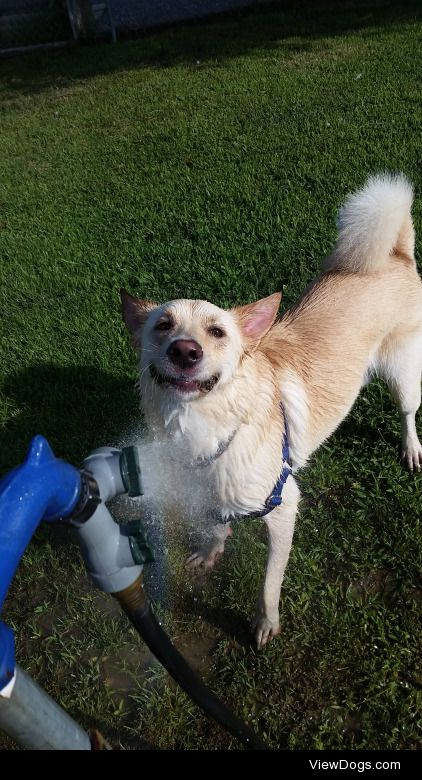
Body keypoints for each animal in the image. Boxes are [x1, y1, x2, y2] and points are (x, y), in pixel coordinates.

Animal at [121, 174, 422, 648]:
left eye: (217, 332)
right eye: (162, 325)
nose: (184, 351)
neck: (204, 429)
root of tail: (396, 255)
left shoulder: (283, 509)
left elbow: (269, 582)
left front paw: (265, 623)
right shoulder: (206, 494)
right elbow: (214, 526)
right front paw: (211, 550)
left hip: (403, 373)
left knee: (409, 412)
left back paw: (411, 448)